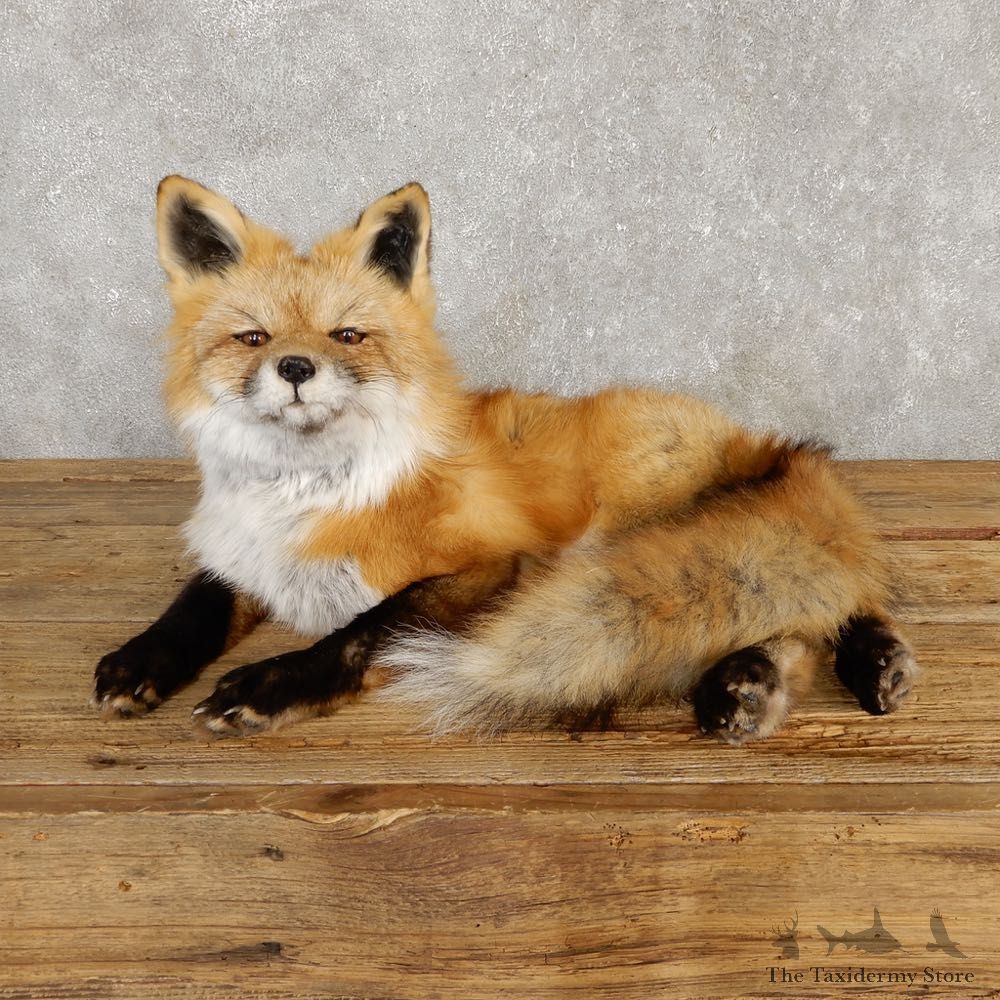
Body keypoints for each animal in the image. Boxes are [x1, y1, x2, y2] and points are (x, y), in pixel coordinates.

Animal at [92, 175, 919, 742]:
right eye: (254, 338)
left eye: (347, 336)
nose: (296, 368)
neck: (307, 494)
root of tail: (759, 438)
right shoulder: (245, 553)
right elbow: (195, 603)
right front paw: (141, 660)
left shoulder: (493, 565)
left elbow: (362, 631)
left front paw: (269, 684)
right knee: (805, 613)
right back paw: (758, 684)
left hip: (631, 534)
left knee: (825, 597)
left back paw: (848, 662)